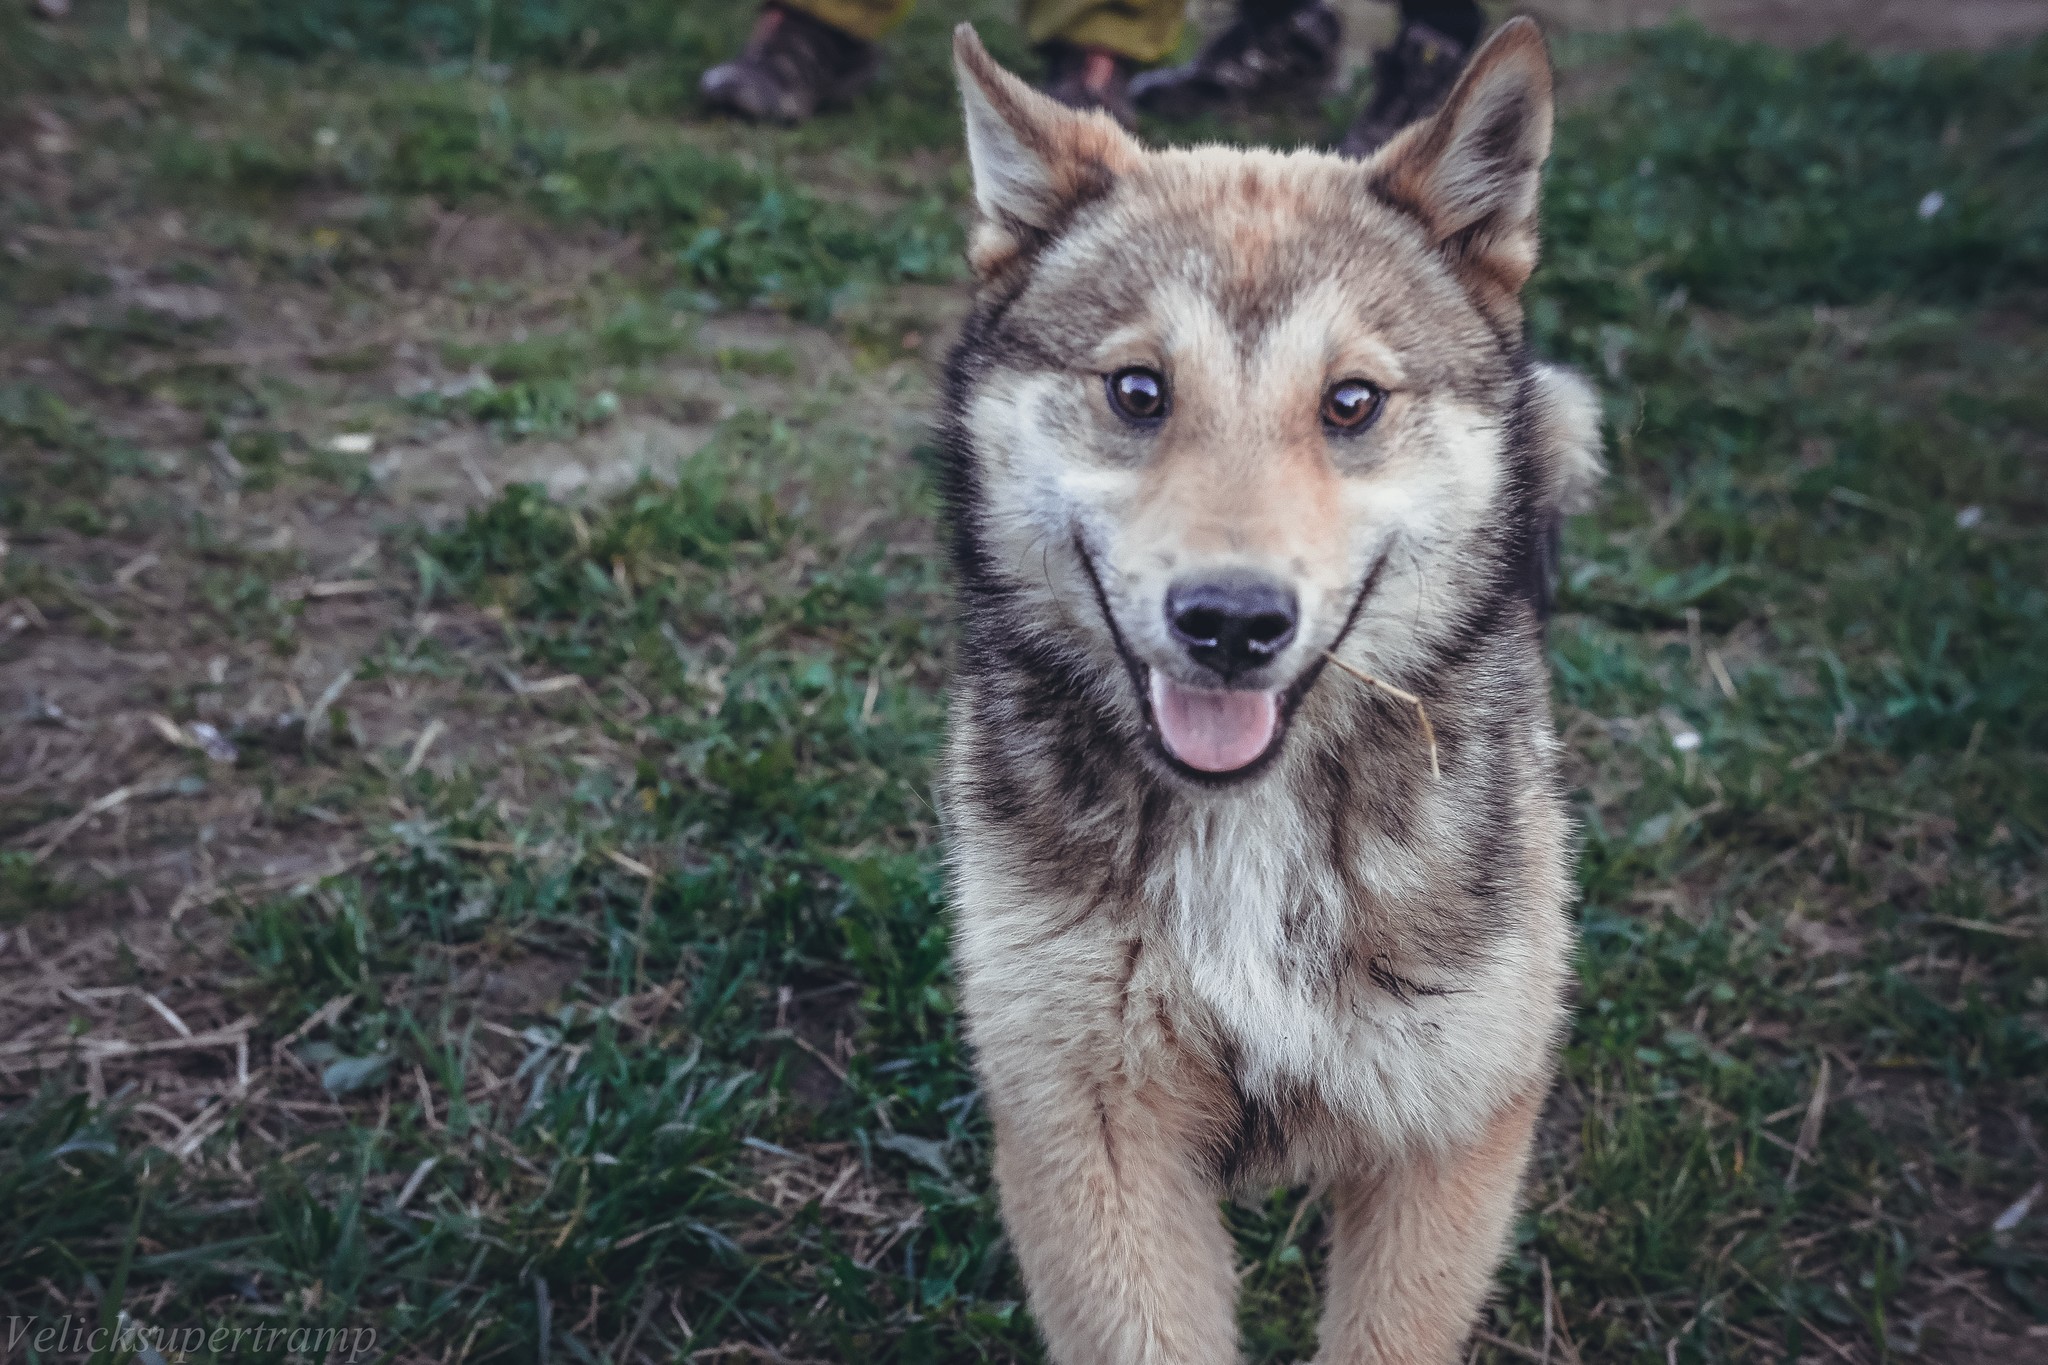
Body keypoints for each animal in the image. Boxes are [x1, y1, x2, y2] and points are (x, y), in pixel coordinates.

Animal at [937, 21, 1605, 1365]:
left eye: (1350, 402)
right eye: (1136, 391)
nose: (1233, 624)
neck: (1248, 820)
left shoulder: (1453, 1122)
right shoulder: (1085, 1126)